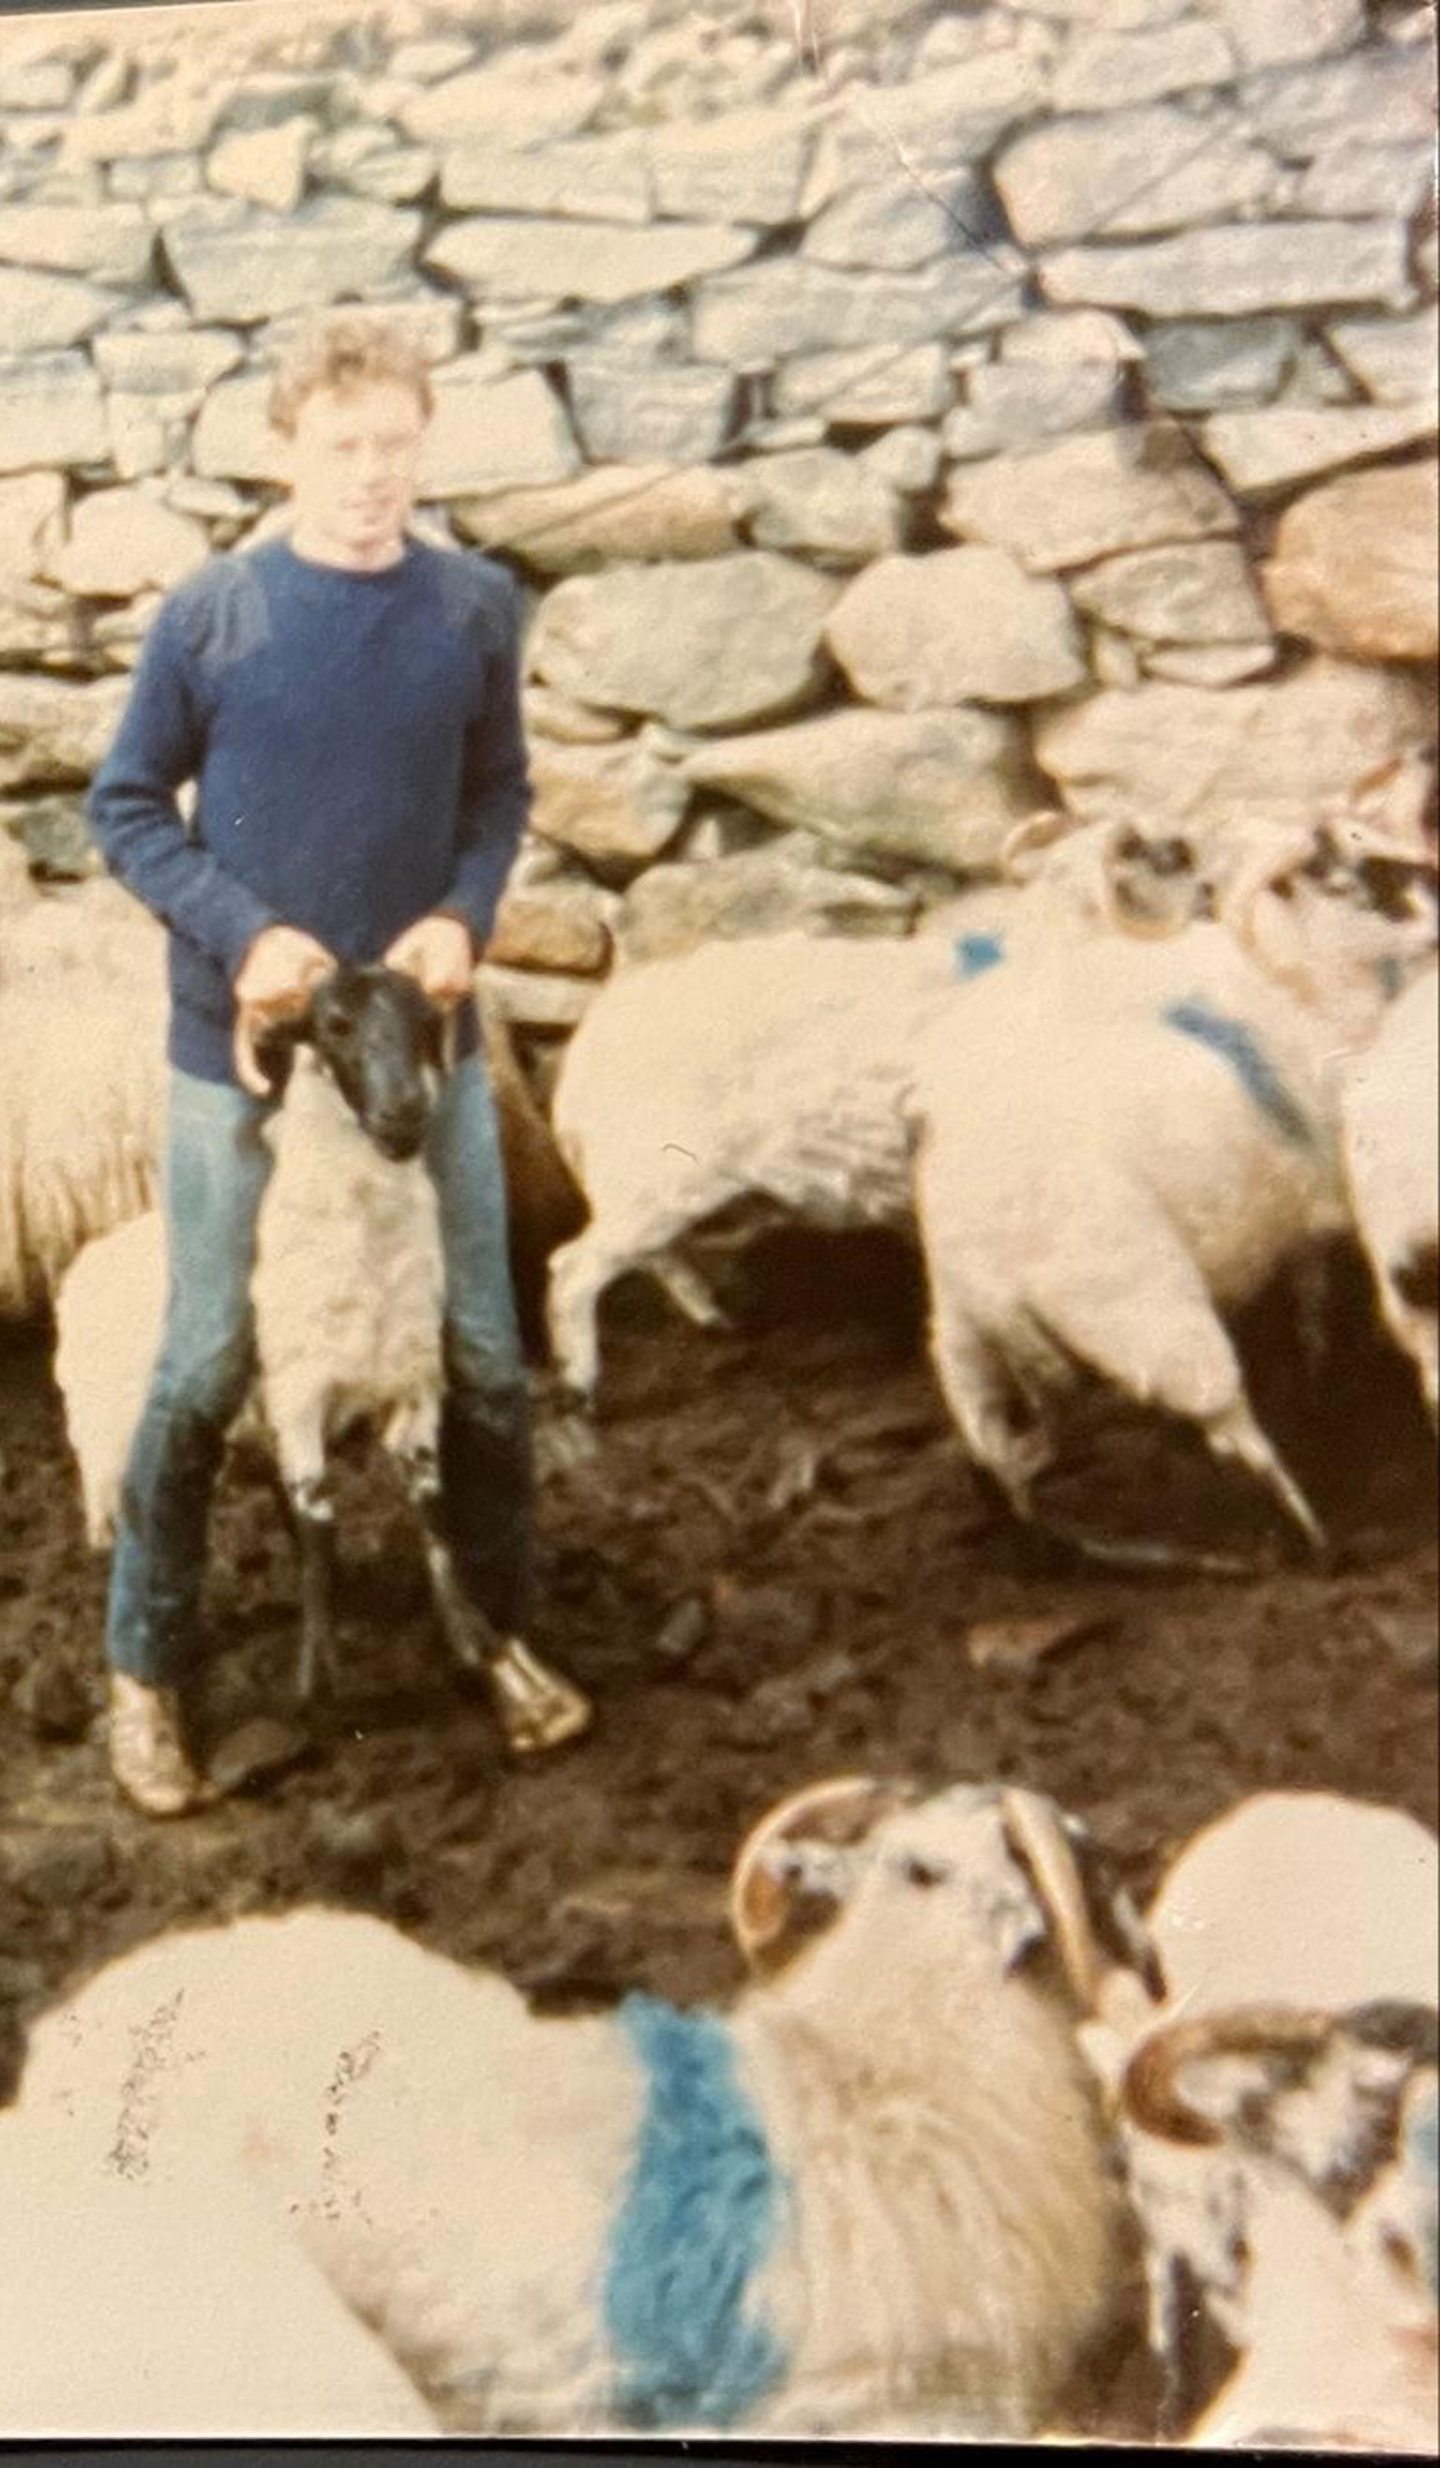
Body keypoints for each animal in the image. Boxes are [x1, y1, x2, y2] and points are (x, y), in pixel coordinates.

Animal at [913, 829, 1440, 1559]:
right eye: (1350, 877)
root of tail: (994, 1280)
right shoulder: (1326, 1211)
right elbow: (1314, 1300)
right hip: (1150, 1316)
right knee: (1231, 1431)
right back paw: (1307, 1538)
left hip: (963, 1339)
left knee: (992, 1457)